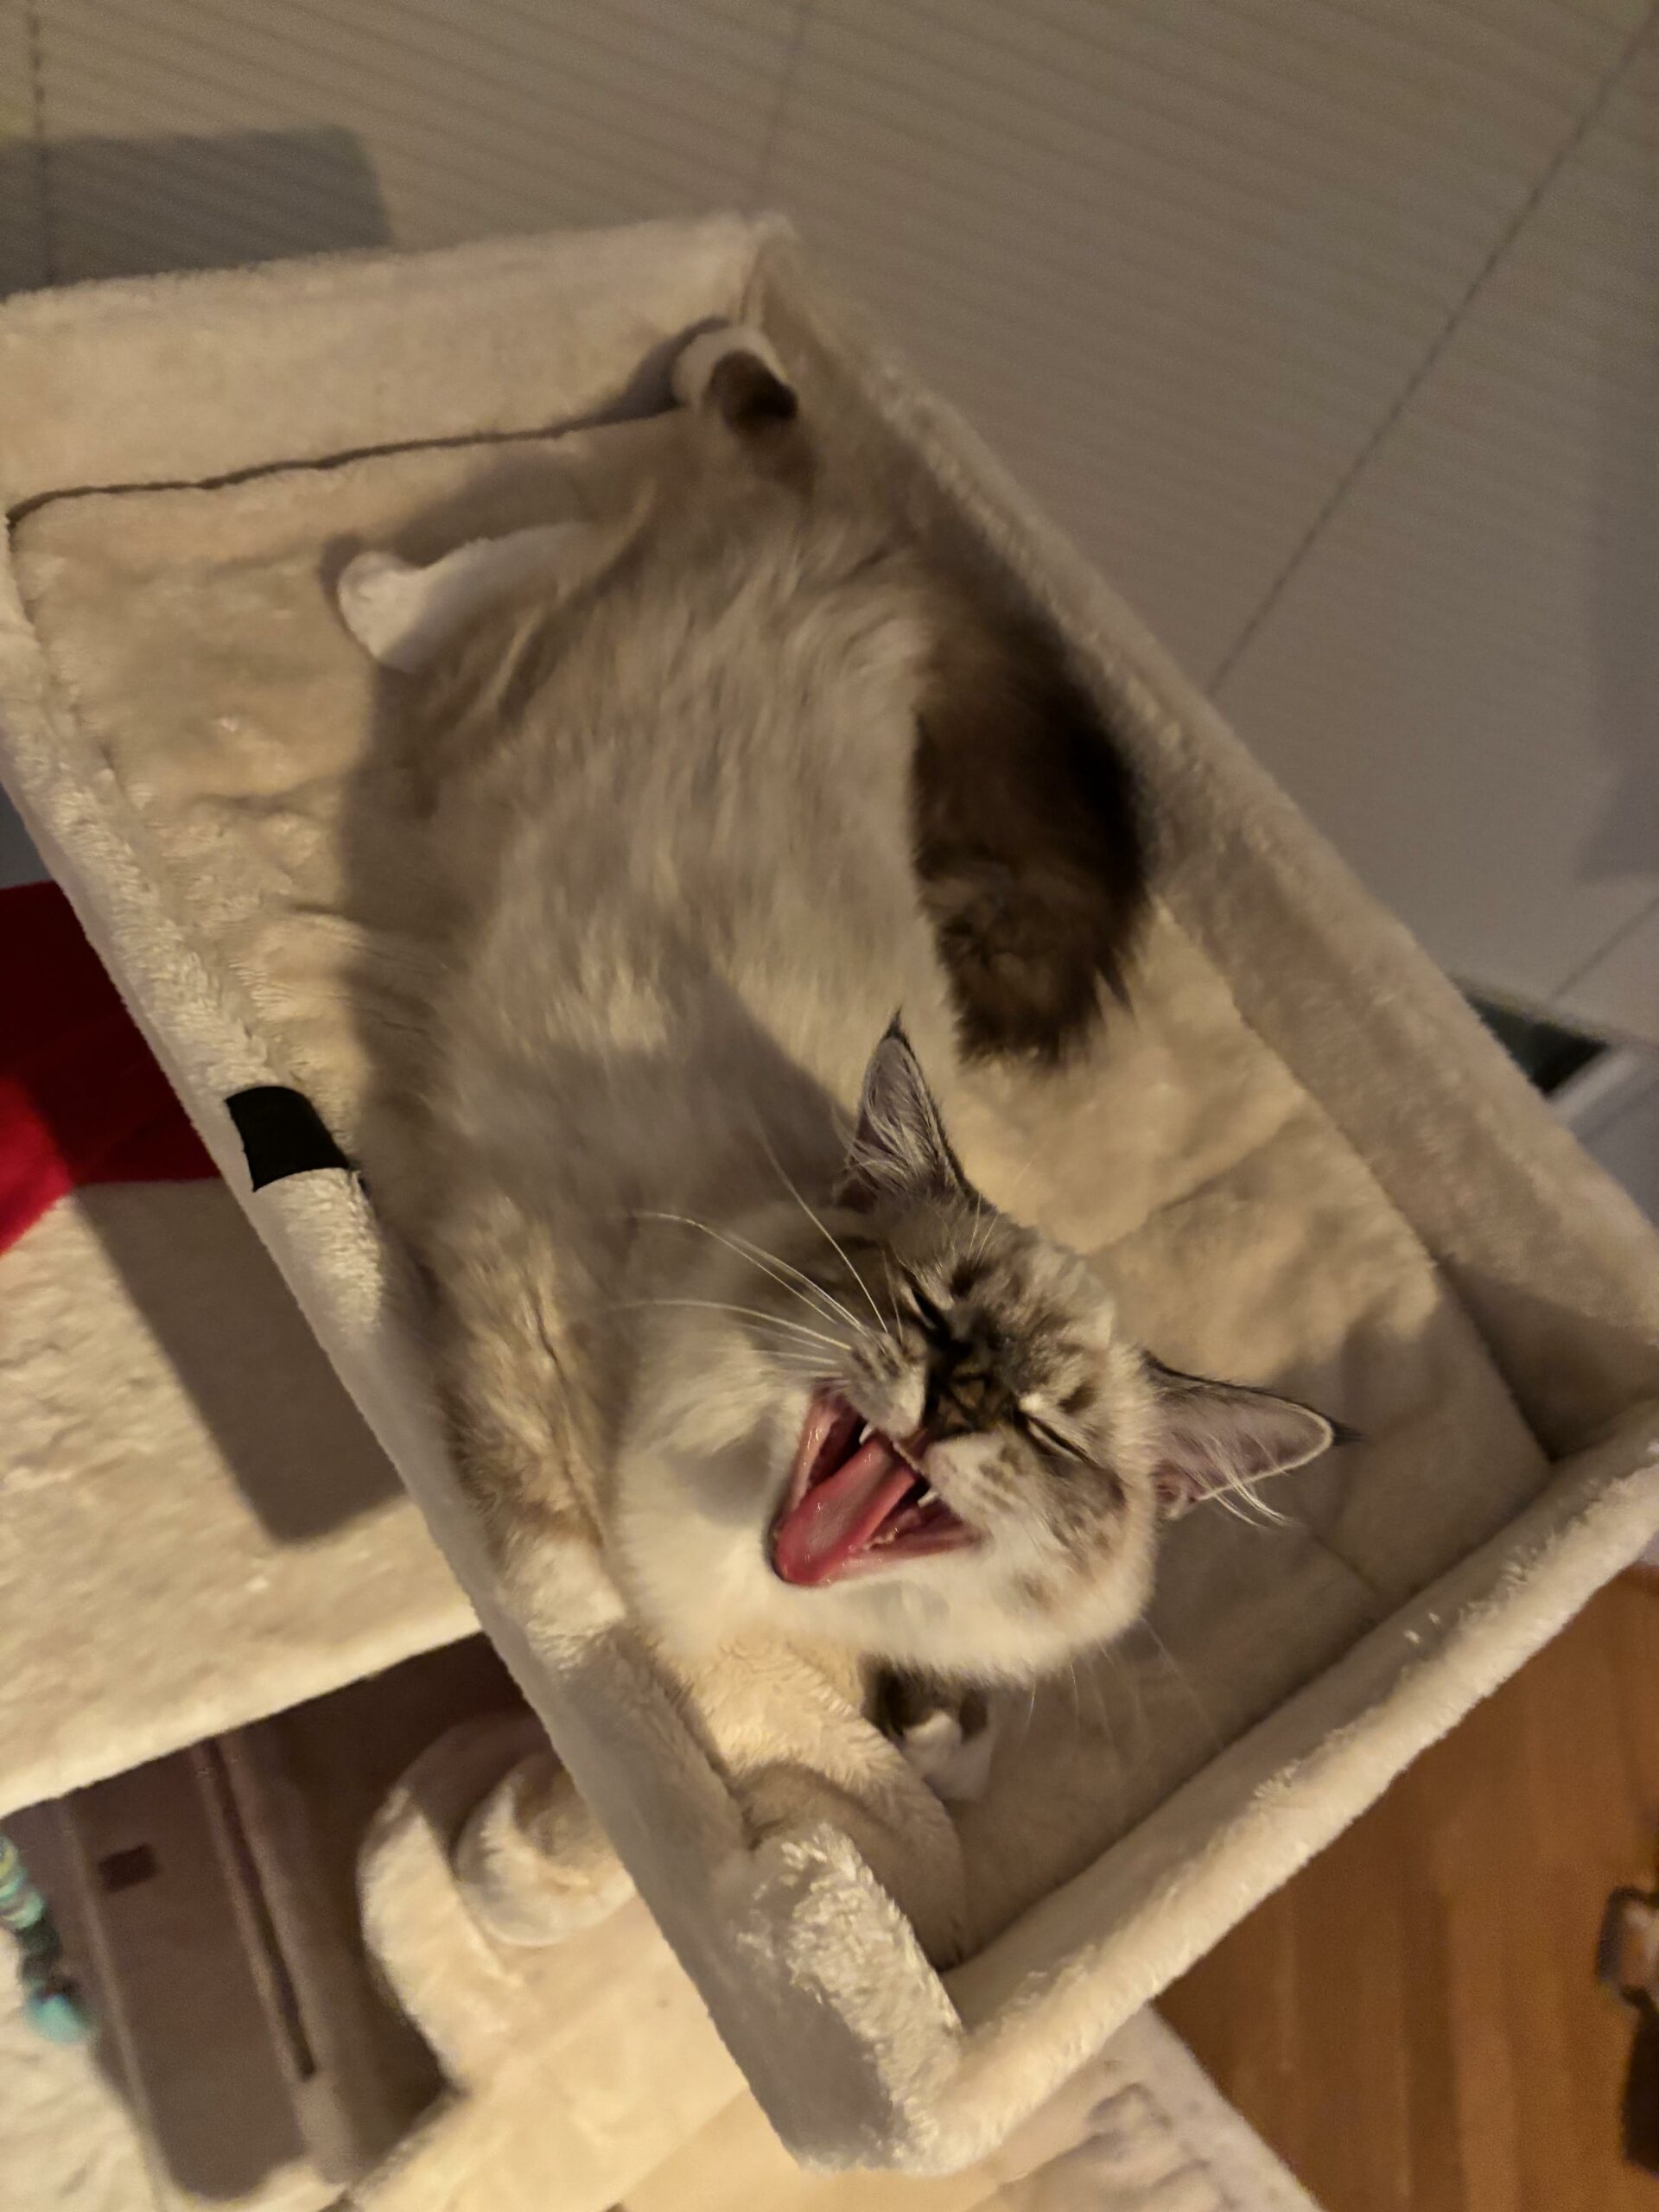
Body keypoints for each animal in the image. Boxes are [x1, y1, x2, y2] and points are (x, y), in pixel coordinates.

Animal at [338, 325, 1339, 1805]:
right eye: (925, 1313)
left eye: (1048, 1430)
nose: (959, 1397)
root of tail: (891, 567)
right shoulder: (523, 1311)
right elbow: (577, 1596)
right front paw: (618, 1725)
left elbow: (940, 1742)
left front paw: (922, 1732)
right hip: (519, 687)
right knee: (565, 535)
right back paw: (372, 583)